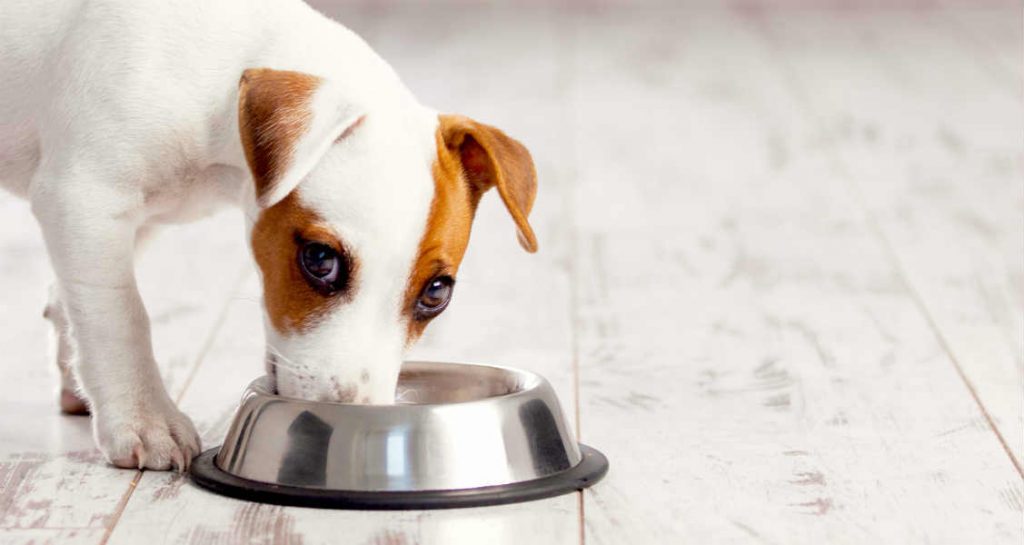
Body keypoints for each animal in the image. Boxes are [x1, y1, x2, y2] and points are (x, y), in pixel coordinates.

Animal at [0, 0, 540, 471]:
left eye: (436, 293)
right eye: (320, 260)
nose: (355, 413)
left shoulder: (133, 219)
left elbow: (73, 301)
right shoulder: (84, 198)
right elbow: (119, 314)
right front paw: (144, 417)